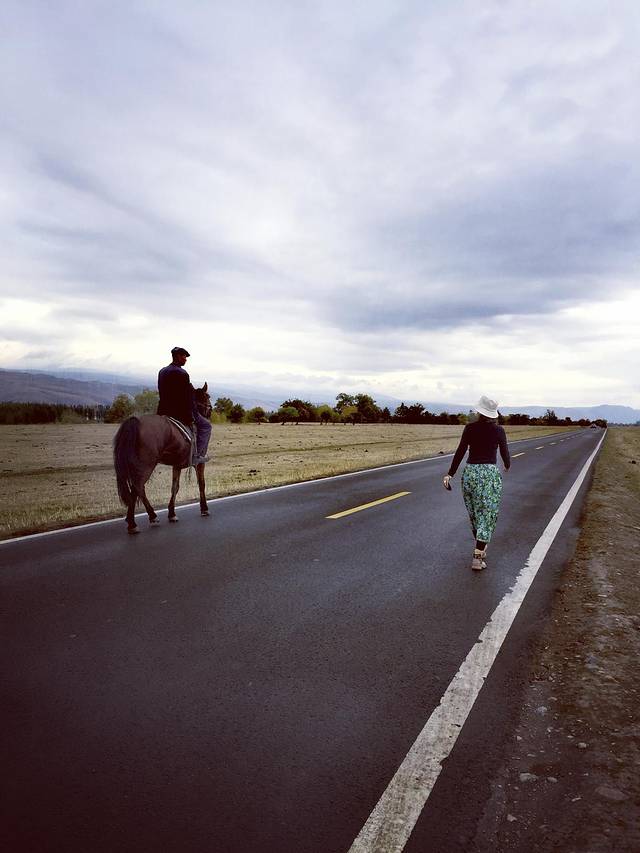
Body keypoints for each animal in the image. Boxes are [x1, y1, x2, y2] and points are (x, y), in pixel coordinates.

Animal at [113, 384, 212, 534]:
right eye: (207, 396)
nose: (210, 410)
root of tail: (135, 421)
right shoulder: (200, 464)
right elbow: (201, 484)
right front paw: (204, 509)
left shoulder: (177, 465)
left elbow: (175, 487)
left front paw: (171, 514)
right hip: (146, 465)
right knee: (139, 487)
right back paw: (149, 517)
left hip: (136, 465)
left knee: (135, 489)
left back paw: (133, 521)